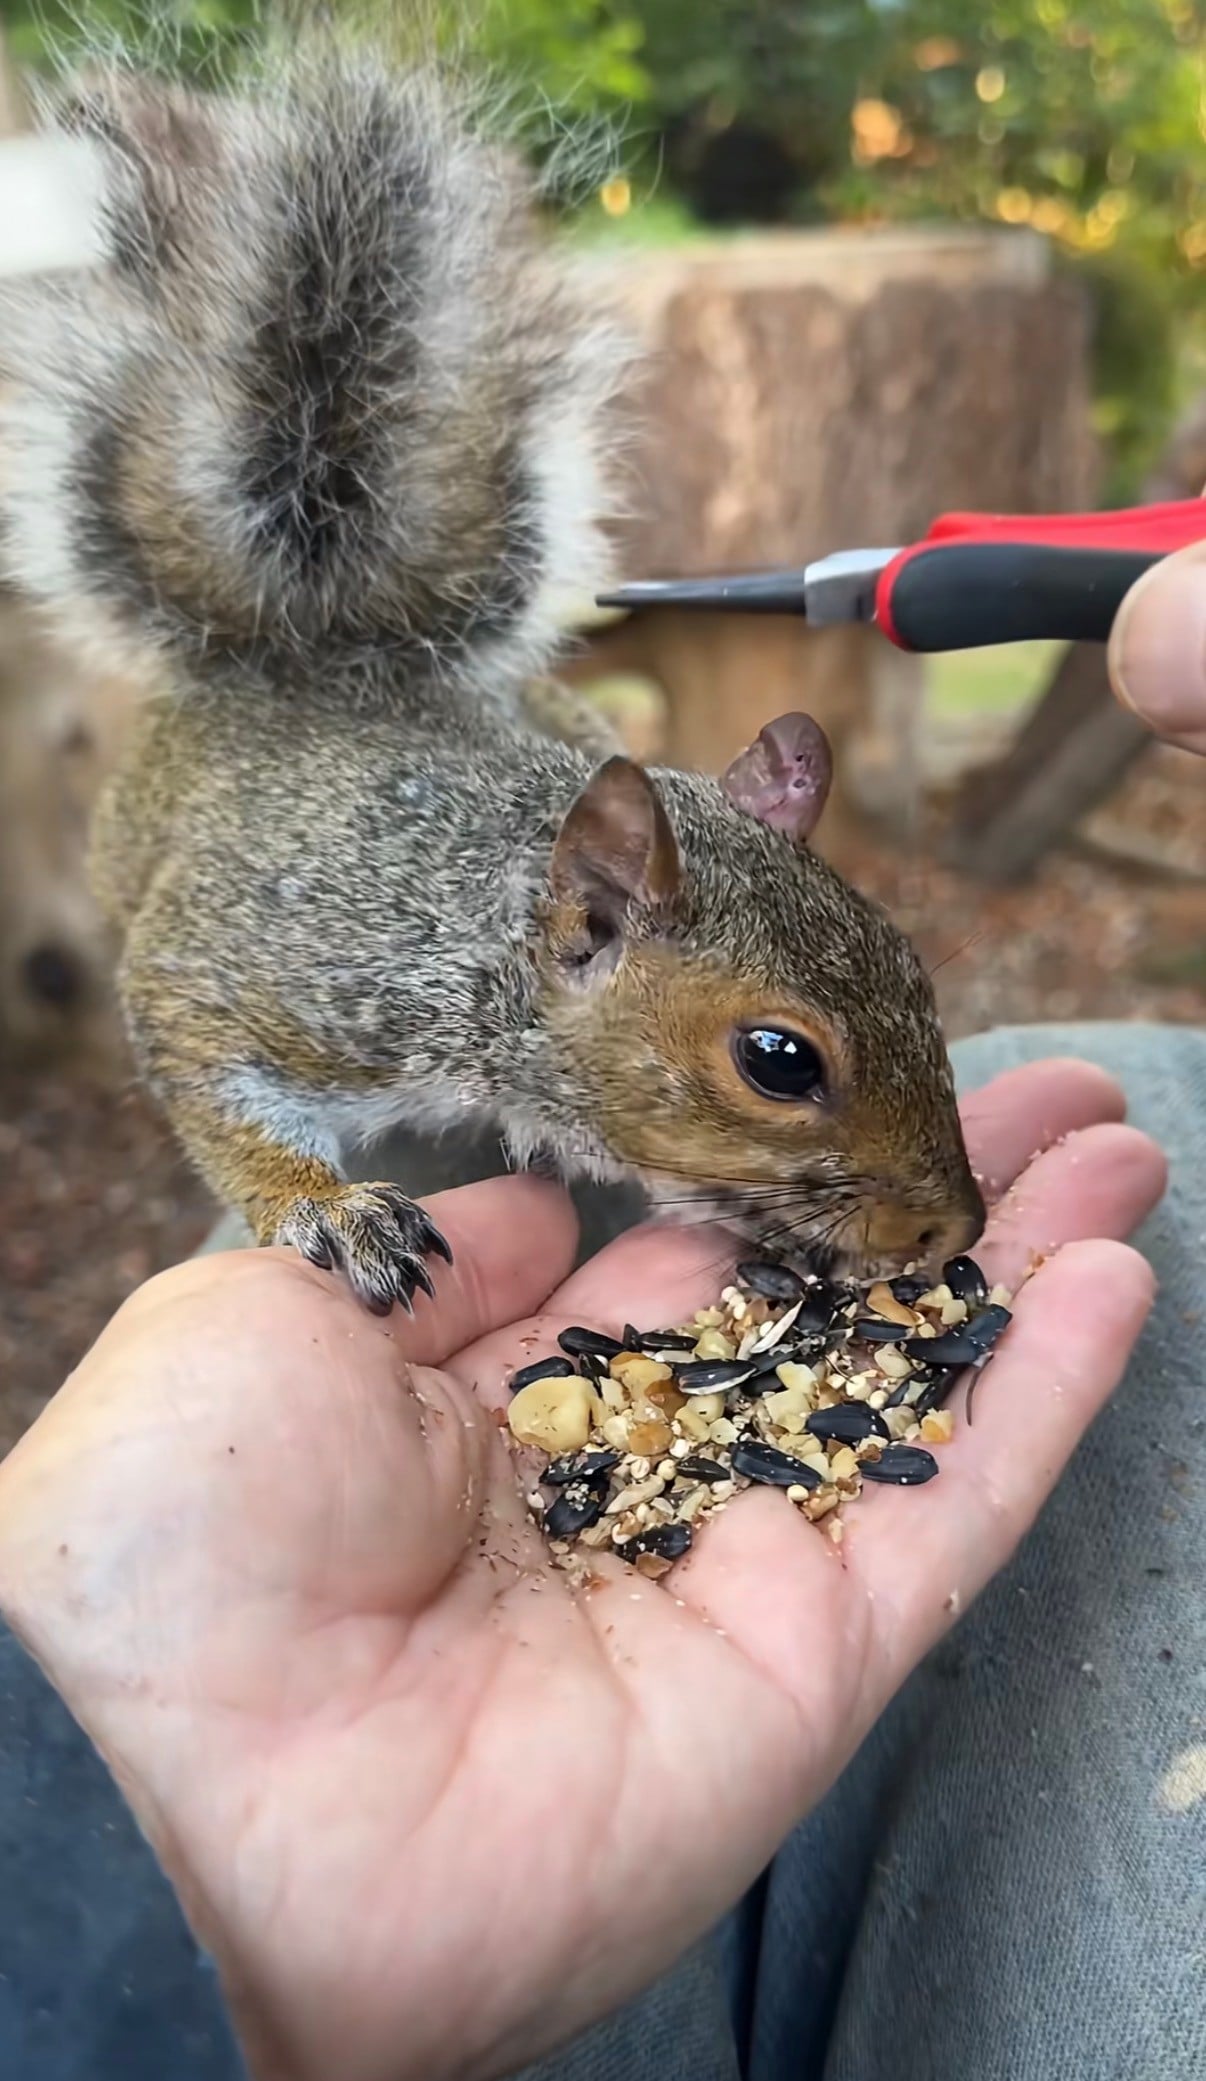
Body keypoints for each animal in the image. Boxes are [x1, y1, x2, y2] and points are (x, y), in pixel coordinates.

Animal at [0, 48, 985, 1313]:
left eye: (917, 967)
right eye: (780, 1059)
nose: (957, 1226)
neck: (473, 952)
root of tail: (320, 651)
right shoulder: (273, 974)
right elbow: (202, 1062)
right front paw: (327, 1210)